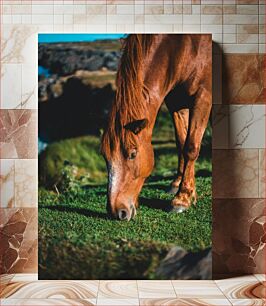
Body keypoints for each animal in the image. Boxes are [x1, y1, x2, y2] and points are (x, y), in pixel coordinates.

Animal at [102, 34, 212, 221]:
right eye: (105, 156)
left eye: (132, 154)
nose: (117, 211)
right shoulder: (176, 101)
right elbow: (181, 142)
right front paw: (179, 185)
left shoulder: (204, 97)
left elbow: (190, 147)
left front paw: (182, 198)